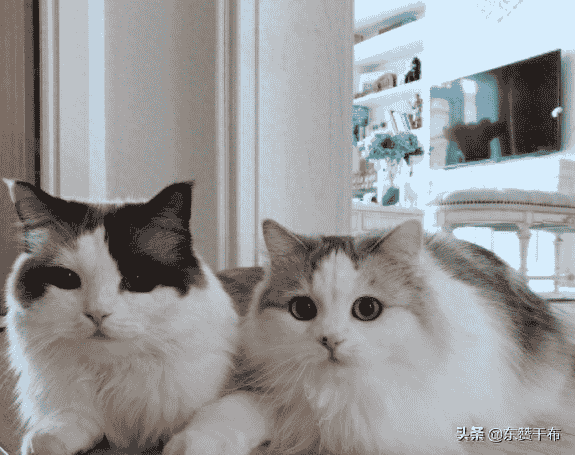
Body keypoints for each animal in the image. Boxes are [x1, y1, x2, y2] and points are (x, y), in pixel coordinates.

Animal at [2, 179, 239, 455]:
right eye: (69, 279)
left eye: (136, 279)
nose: (97, 313)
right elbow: (62, 424)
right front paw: (51, 439)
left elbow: (212, 420)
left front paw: (186, 445)